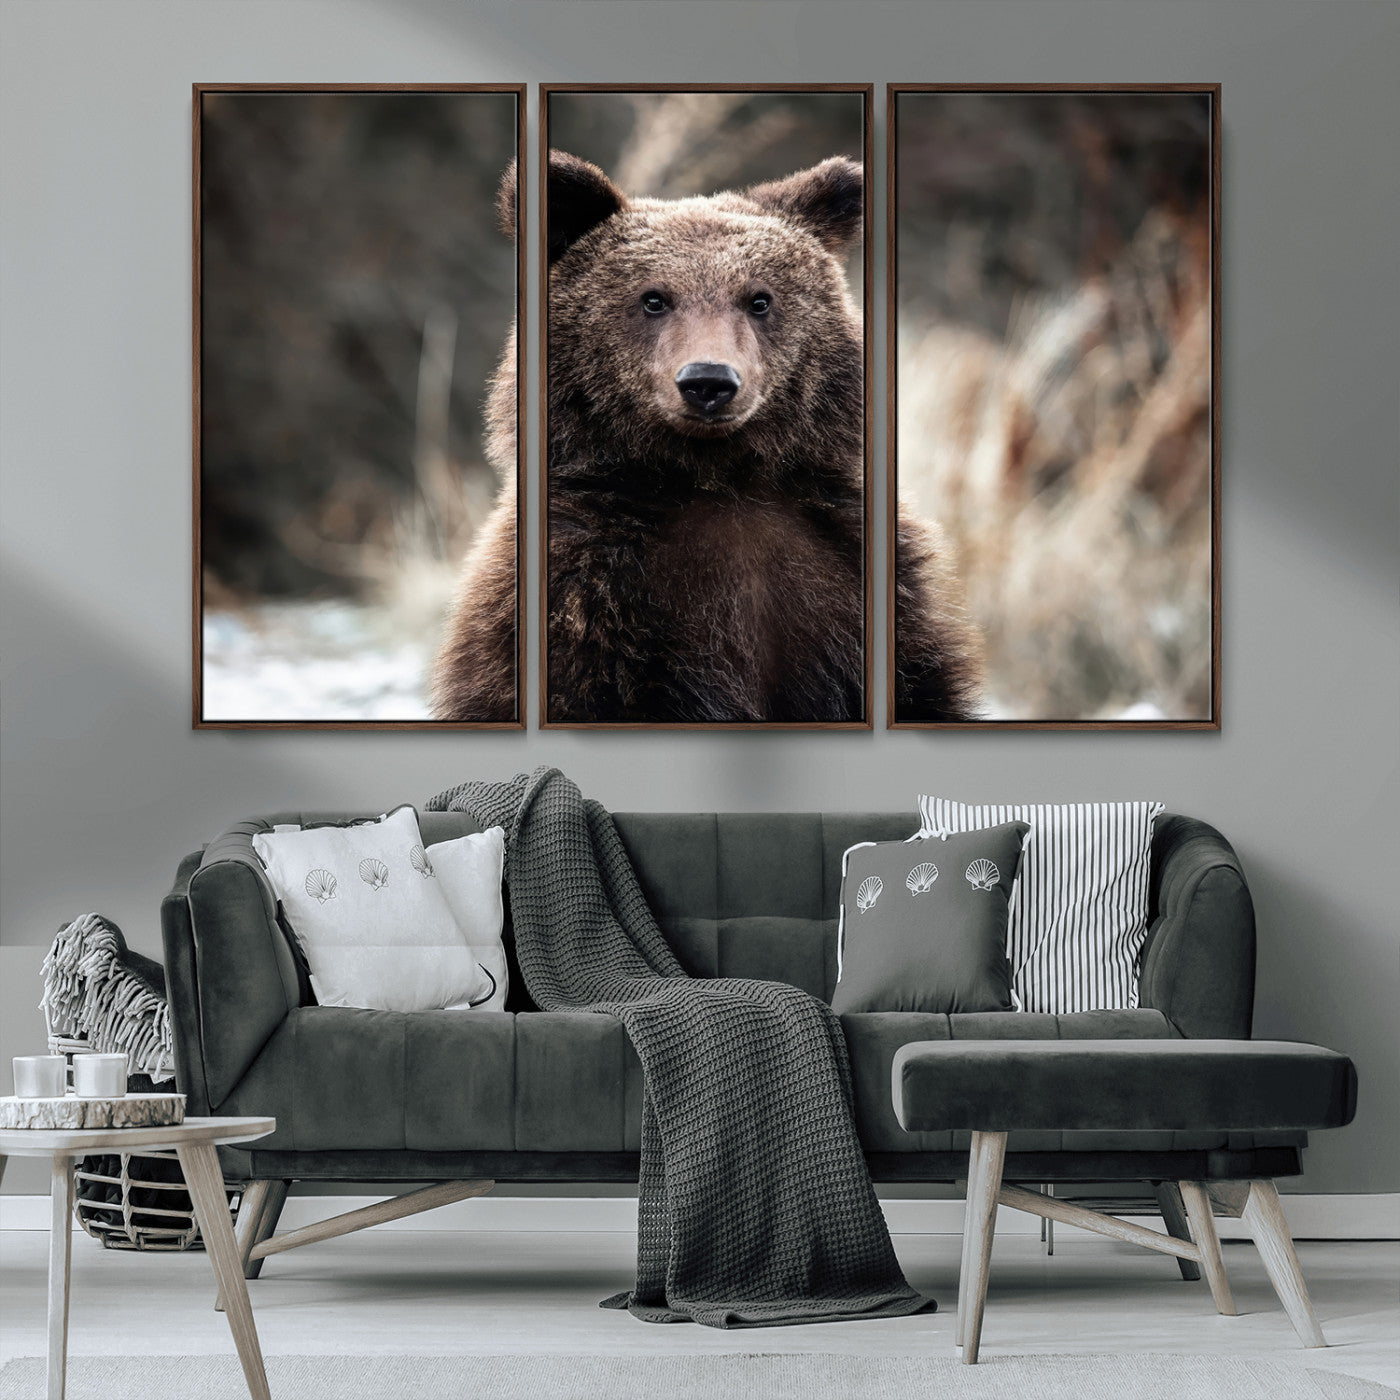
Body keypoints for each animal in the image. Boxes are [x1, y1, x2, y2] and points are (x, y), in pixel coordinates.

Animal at [431, 150, 981, 724]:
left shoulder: (852, 576)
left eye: (759, 300)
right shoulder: (584, 594)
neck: (716, 477)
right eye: (653, 299)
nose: (708, 381)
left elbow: (922, 685)